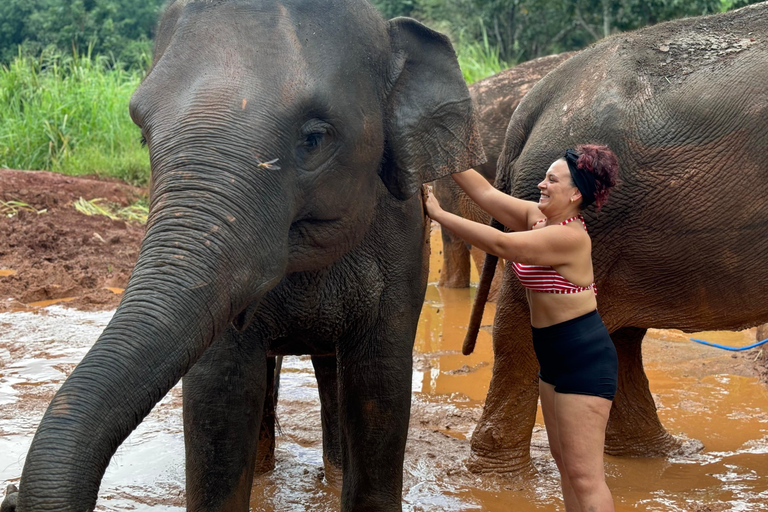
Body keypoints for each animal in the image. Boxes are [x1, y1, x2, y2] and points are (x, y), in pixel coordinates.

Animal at [3, 1, 486, 512]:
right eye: (143, 134)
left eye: (314, 138)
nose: (10, 493)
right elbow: (221, 393)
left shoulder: (405, 244)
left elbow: (379, 386)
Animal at [460, 2, 768, 478]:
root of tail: (541, 95)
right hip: (597, 219)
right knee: (522, 327)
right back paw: (499, 477)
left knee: (618, 332)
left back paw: (667, 453)